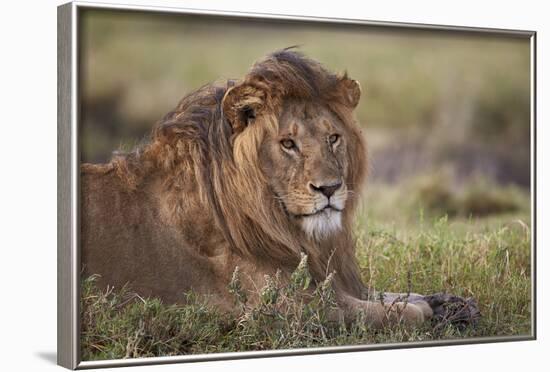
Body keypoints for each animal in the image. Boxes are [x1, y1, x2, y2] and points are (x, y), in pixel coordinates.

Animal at [80, 48, 480, 328]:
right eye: (288, 144)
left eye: (334, 138)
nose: (329, 188)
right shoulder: (283, 308)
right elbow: (396, 312)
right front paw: (428, 310)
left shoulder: (329, 280)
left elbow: (391, 294)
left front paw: (452, 303)